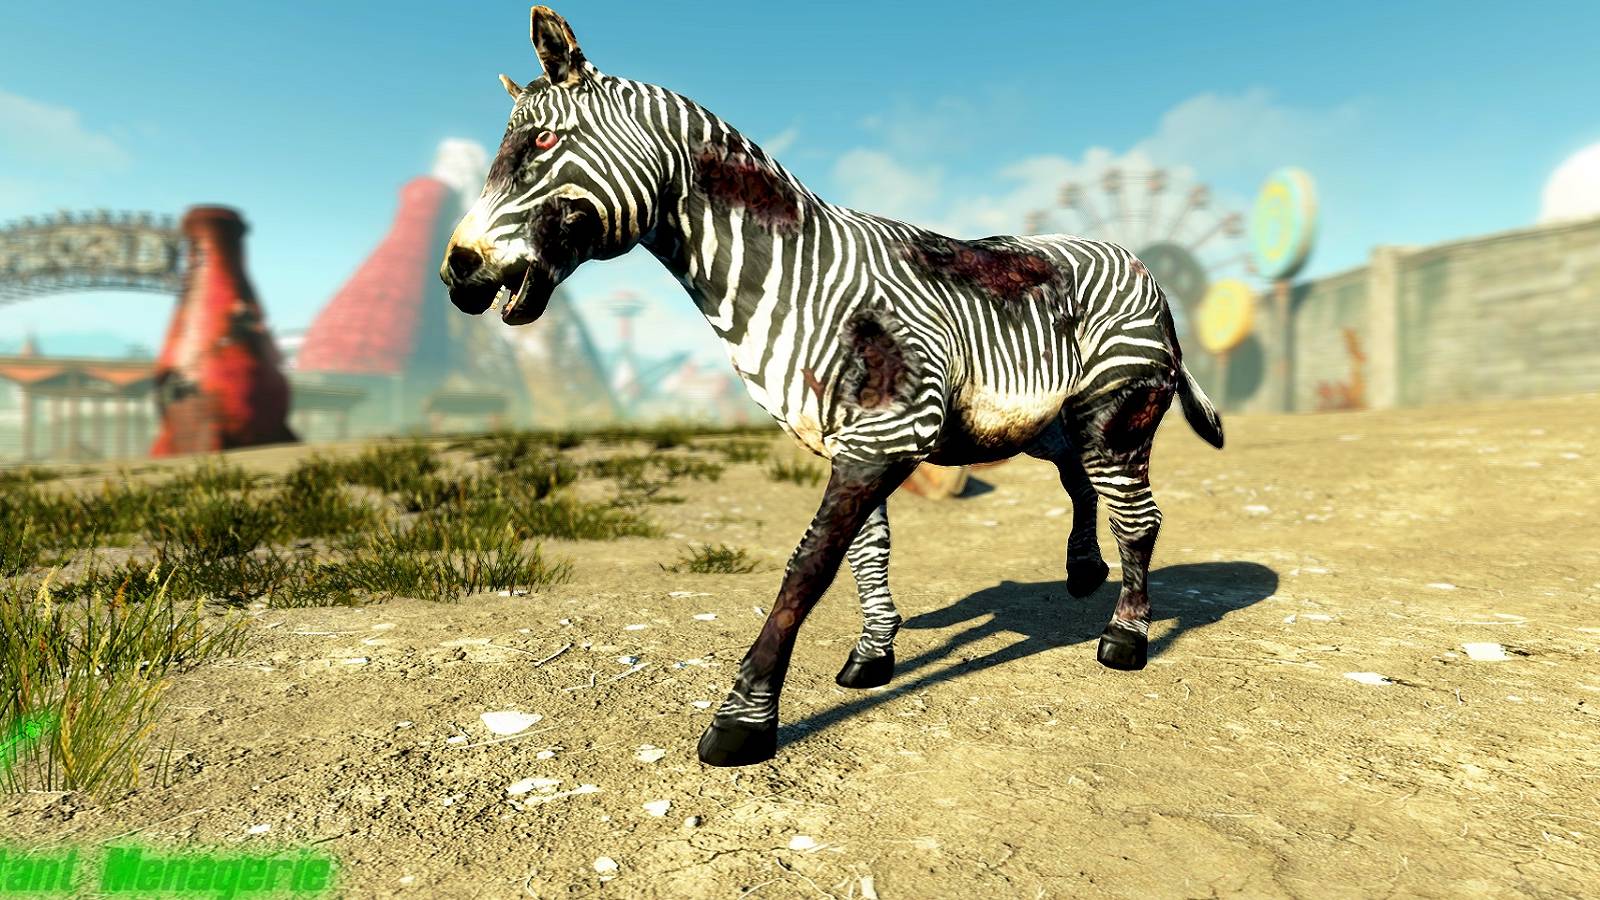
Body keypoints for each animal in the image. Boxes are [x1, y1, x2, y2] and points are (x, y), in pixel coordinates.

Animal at [440, 7, 1226, 767]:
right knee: (1082, 484)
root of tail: (1140, 266)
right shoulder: (848, 440)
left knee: (1138, 518)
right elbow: (865, 552)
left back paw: (1125, 638)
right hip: (1052, 424)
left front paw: (744, 719)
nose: (457, 271)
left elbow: (808, 567)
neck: (794, 277)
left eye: (542, 142)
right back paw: (1083, 572)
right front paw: (873, 656)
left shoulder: (886, 435)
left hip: (1115, 415)